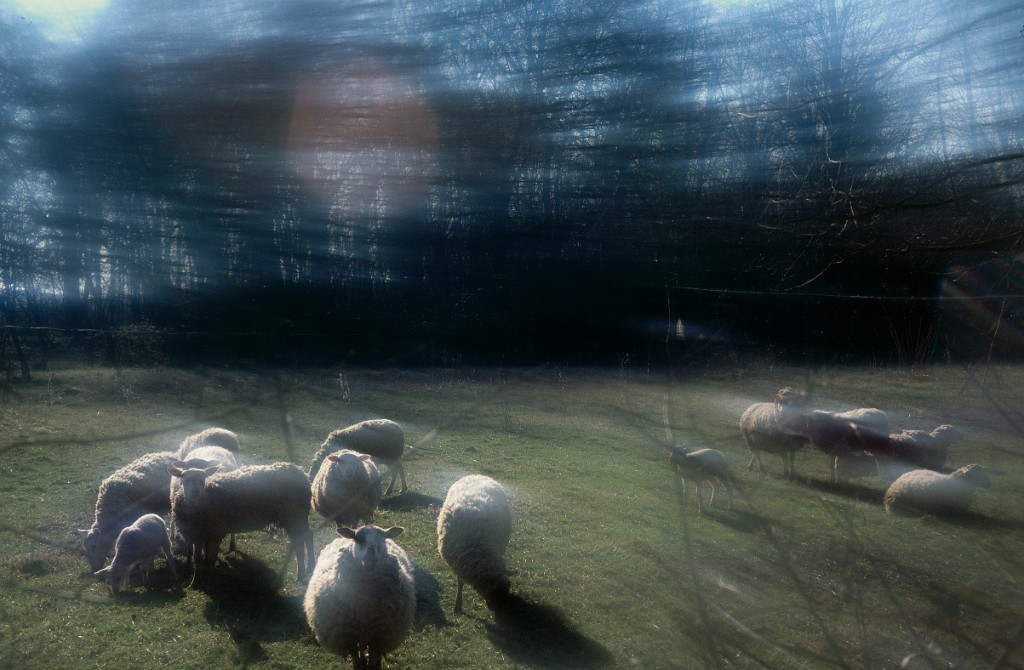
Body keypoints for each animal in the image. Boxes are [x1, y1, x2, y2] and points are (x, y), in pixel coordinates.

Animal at [168, 462, 315, 583]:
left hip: (294, 514)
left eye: (203, 478)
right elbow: (197, 558)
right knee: (307, 536)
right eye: (184, 478)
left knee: (299, 543)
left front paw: (210, 579)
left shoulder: (215, 532)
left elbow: (211, 560)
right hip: (298, 515)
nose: (195, 492)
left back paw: (301, 574)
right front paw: (195, 581)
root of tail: (302, 474)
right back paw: (309, 567)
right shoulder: (198, 535)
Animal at [303, 525, 416, 670]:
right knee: (361, 649)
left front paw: (373, 664)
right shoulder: (348, 636)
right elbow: (355, 659)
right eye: (358, 539)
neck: (366, 604)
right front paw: (360, 664)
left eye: (383, 538)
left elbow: (373, 660)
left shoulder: (379, 636)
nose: (370, 560)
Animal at [437, 474, 512, 614]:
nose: (497, 611)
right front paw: (458, 604)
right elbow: (460, 582)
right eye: (494, 594)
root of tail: (478, 475)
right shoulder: (458, 564)